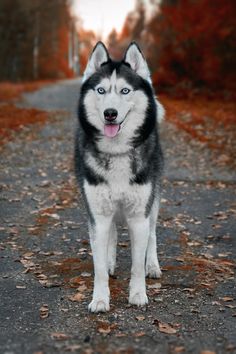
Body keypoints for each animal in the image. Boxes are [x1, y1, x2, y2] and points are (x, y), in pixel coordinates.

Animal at [74, 42, 163, 312]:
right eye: (101, 90)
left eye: (125, 90)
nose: (110, 113)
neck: (118, 152)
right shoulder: (98, 215)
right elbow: (99, 267)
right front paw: (100, 299)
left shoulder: (139, 216)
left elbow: (136, 264)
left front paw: (138, 294)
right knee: (112, 232)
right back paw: (111, 261)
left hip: (153, 204)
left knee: (153, 234)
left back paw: (153, 265)